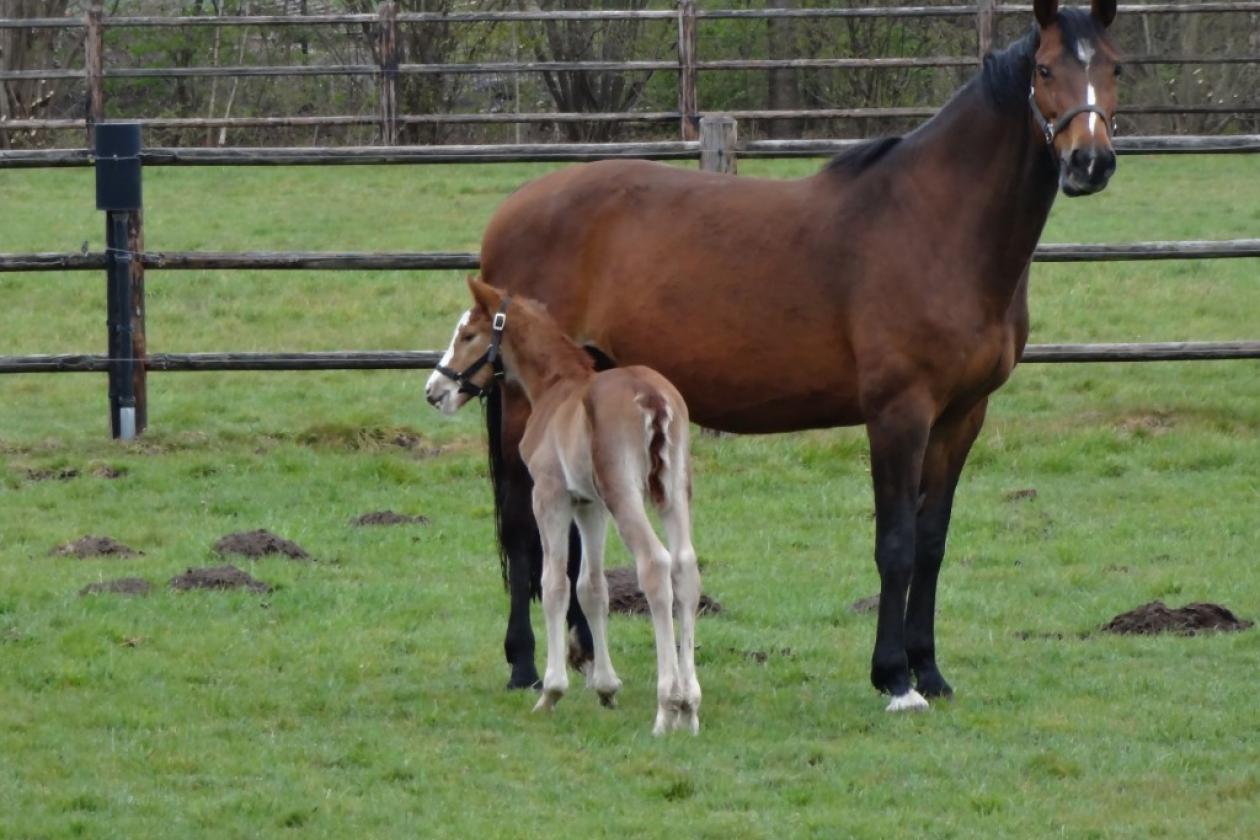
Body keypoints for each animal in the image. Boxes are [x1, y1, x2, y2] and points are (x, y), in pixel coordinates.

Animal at [423, 277, 700, 735]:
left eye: (468, 335)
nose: (434, 391)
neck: (557, 387)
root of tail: (652, 398)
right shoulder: (589, 504)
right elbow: (592, 587)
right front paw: (606, 687)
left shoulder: (550, 495)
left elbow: (553, 583)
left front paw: (551, 691)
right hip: (673, 491)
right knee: (685, 568)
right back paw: (691, 706)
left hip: (625, 495)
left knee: (655, 564)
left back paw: (667, 706)